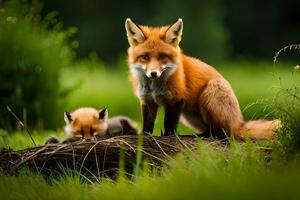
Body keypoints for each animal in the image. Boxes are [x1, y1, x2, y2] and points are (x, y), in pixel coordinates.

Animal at [124, 18, 282, 140]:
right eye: (145, 57)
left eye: (162, 57)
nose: (153, 74)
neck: (154, 87)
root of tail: (239, 124)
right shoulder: (147, 100)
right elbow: (147, 125)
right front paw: (144, 137)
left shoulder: (176, 99)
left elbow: (169, 125)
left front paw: (169, 136)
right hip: (188, 115)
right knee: (211, 131)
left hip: (210, 91)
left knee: (221, 134)